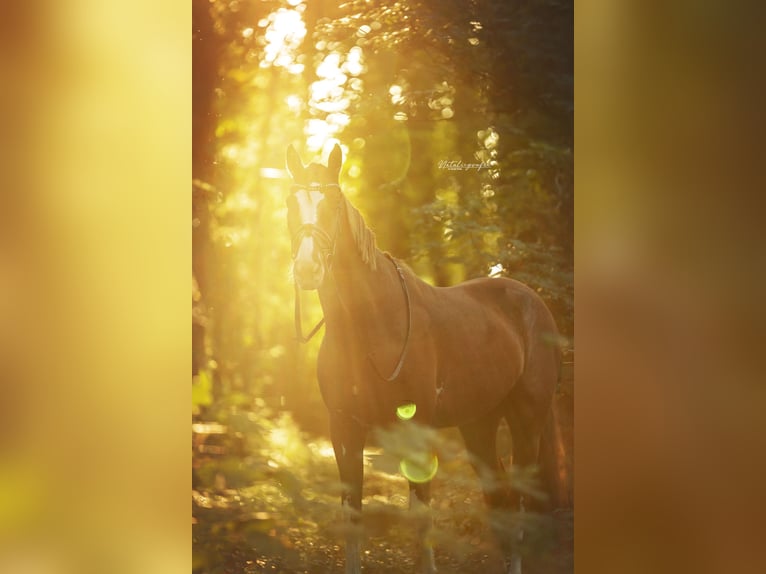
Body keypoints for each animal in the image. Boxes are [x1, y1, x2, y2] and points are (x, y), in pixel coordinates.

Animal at [285, 143, 563, 574]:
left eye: (332, 203)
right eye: (290, 202)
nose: (307, 268)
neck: (371, 326)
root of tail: (533, 299)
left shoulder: (415, 429)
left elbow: (420, 515)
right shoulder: (343, 427)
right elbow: (352, 516)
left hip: (526, 420)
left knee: (518, 502)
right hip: (480, 424)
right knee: (497, 497)